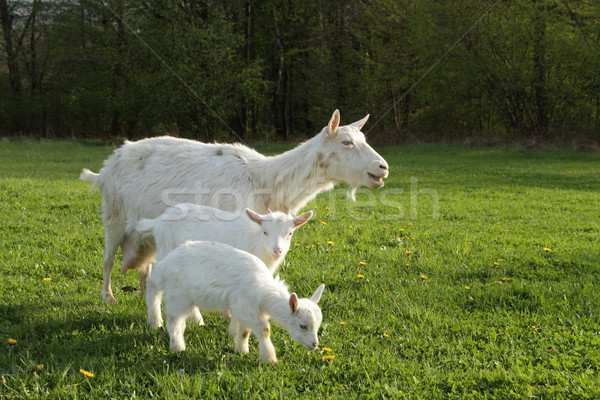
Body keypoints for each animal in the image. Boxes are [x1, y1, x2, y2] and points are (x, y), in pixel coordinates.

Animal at [79, 108, 390, 302]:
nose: (383, 167)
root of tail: (106, 167)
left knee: (144, 268)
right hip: (113, 214)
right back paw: (108, 296)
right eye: (346, 142)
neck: (266, 180)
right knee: (108, 259)